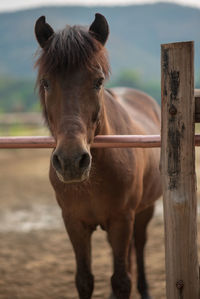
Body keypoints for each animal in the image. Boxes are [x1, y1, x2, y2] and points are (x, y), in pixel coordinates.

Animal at [34, 14, 162, 299]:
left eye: (98, 81)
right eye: (46, 82)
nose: (71, 162)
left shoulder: (122, 220)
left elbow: (121, 280)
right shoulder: (74, 223)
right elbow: (84, 280)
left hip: (143, 212)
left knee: (139, 247)